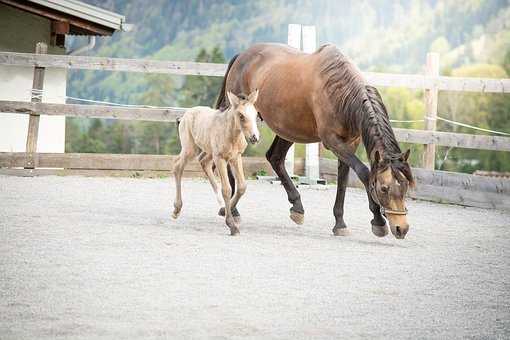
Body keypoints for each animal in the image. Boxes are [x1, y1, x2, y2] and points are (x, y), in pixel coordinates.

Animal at [171, 89, 258, 235]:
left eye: (256, 114)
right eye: (241, 115)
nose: (254, 137)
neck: (231, 134)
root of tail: (185, 115)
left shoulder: (235, 157)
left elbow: (241, 187)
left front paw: (225, 211)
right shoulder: (220, 158)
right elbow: (227, 189)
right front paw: (232, 225)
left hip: (207, 151)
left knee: (203, 162)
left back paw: (220, 203)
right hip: (191, 149)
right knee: (178, 167)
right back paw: (176, 209)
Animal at [215, 43, 414, 239]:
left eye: (405, 187)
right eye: (384, 188)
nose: (401, 228)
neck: (339, 91)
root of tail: (242, 56)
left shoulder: (349, 143)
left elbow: (343, 180)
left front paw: (340, 223)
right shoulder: (332, 141)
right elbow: (364, 173)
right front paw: (378, 221)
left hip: (288, 129)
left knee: (275, 158)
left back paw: (297, 207)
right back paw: (234, 210)